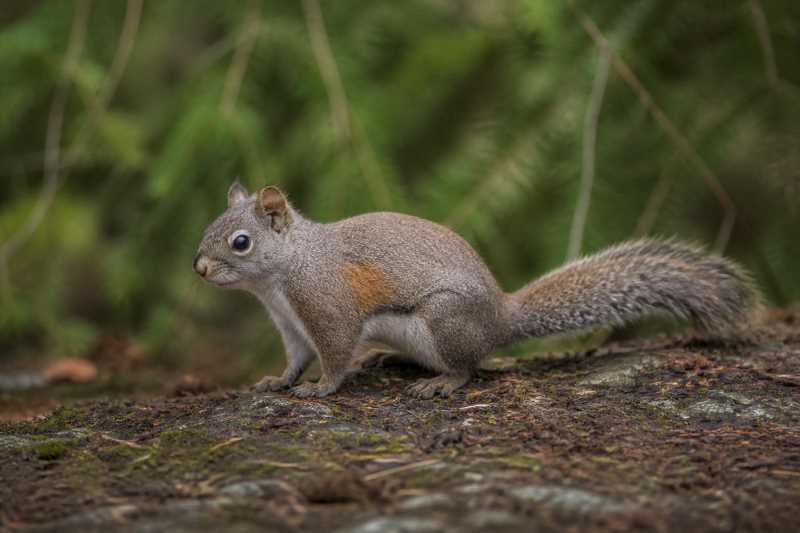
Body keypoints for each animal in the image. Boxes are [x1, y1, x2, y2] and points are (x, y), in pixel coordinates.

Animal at [193, 182, 761, 399]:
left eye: (241, 242)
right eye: (210, 226)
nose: (198, 268)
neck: (282, 276)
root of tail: (501, 318)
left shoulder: (327, 306)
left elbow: (334, 352)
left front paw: (320, 389)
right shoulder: (289, 322)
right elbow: (295, 357)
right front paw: (277, 381)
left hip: (445, 321)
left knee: (469, 366)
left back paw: (441, 383)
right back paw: (390, 360)